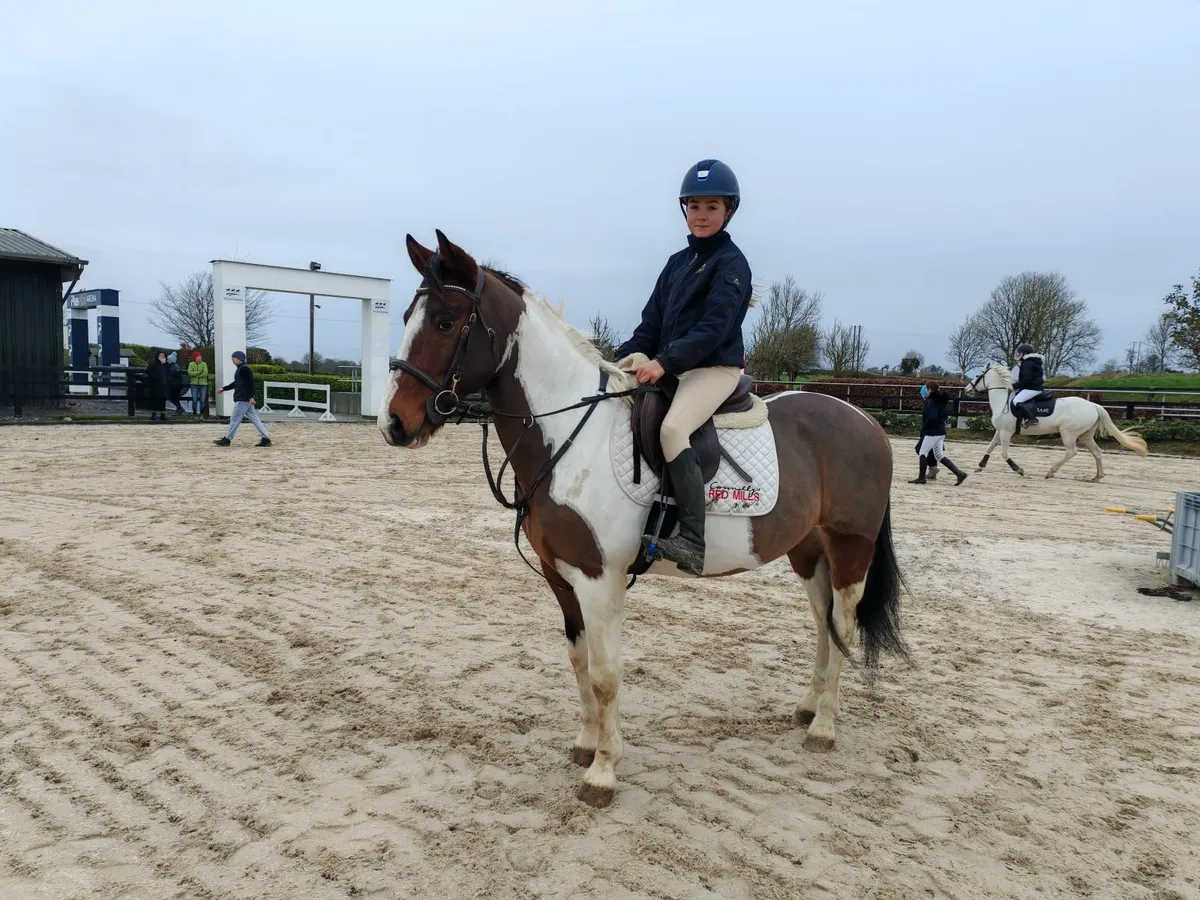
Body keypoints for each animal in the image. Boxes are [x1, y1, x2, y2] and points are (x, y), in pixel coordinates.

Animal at [379, 230, 909, 808]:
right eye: (405, 315)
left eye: (445, 322)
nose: (394, 424)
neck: (569, 435)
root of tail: (865, 421)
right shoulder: (561, 577)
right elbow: (579, 662)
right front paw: (586, 745)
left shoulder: (599, 578)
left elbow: (606, 674)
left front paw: (603, 773)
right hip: (808, 550)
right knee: (822, 621)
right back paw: (808, 709)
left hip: (850, 547)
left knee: (844, 622)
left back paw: (824, 729)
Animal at [964, 364, 1149, 481]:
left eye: (977, 375)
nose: (966, 390)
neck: (1002, 400)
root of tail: (1094, 405)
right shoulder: (1000, 431)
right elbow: (990, 447)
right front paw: (980, 466)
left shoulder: (1006, 432)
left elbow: (1003, 453)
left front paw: (1020, 471)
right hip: (1086, 435)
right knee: (1097, 452)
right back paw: (1097, 477)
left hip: (1069, 433)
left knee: (1071, 452)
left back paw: (1051, 472)